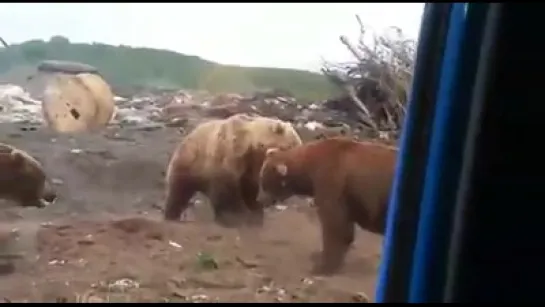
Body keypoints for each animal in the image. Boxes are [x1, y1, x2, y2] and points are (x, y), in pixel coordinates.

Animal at [164, 114, 304, 227]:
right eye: (293, 145)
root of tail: (188, 136)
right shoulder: (228, 154)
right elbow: (227, 189)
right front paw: (237, 215)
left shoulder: (251, 166)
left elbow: (249, 188)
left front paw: (254, 209)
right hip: (189, 162)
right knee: (179, 191)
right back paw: (171, 214)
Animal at [258, 137, 398, 276]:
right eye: (261, 176)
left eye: (264, 180)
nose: (259, 199)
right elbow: (345, 230)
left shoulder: (331, 184)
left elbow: (334, 226)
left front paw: (323, 266)